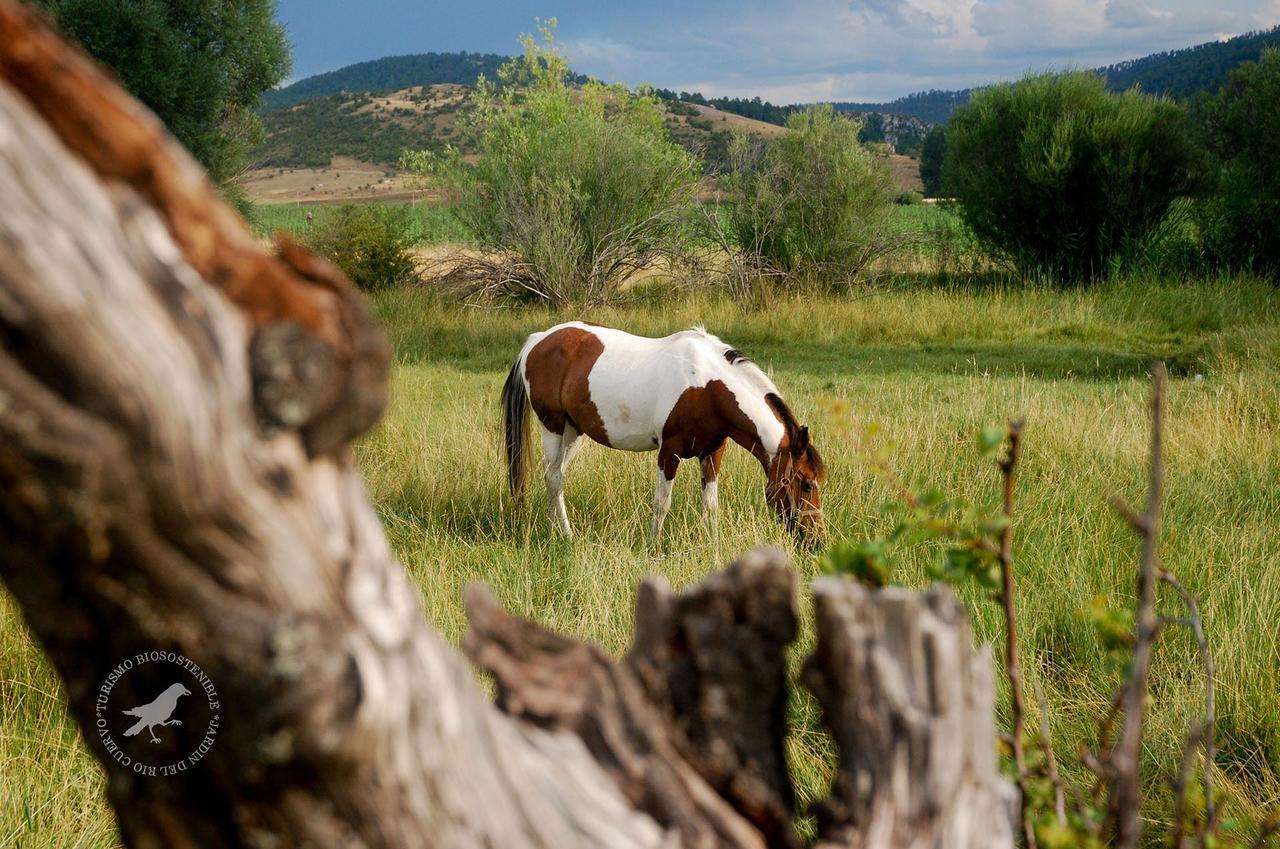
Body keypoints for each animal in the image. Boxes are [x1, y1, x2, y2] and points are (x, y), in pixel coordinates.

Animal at [501, 318, 829, 545]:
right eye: (807, 485)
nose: (817, 541)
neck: (706, 386)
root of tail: (537, 341)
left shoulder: (712, 451)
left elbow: (711, 504)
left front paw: (714, 544)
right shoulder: (669, 451)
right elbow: (662, 503)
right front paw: (653, 546)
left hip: (573, 433)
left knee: (554, 476)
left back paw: (556, 529)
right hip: (553, 426)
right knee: (554, 478)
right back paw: (567, 535)